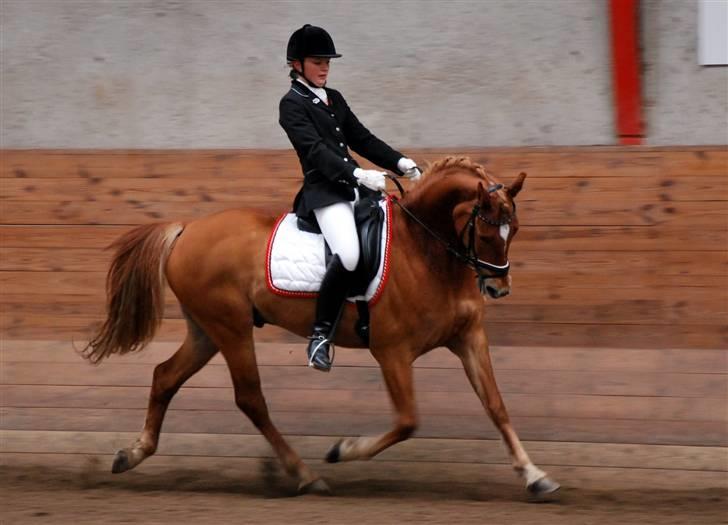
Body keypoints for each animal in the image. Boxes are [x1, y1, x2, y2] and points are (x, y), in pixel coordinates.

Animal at [82, 156, 560, 498]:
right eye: (486, 233)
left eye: (515, 229)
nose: (498, 287)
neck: (426, 251)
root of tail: (187, 229)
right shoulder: (392, 352)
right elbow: (408, 420)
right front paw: (343, 449)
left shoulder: (468, 338)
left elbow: (496, 406)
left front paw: (535, 475)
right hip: (230, 327)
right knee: (250, 399)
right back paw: (306, 475)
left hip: (206, 329)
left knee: (165, 376)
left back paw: (132, 454)